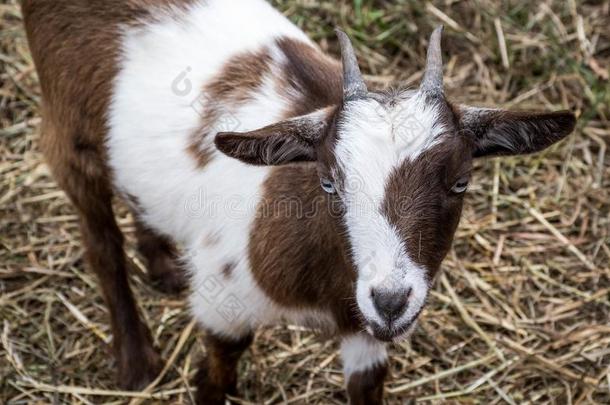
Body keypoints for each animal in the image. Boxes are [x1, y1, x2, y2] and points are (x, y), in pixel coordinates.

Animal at [22, 0, 576, 402]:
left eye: (460, 182)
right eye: (328, 181)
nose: (391, 300)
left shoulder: (365, 335)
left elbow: (365, 387)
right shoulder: (223, 304)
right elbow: (216, 375)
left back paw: (164, 264)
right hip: (65, 129)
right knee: (99, 240)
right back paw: (136, 361)